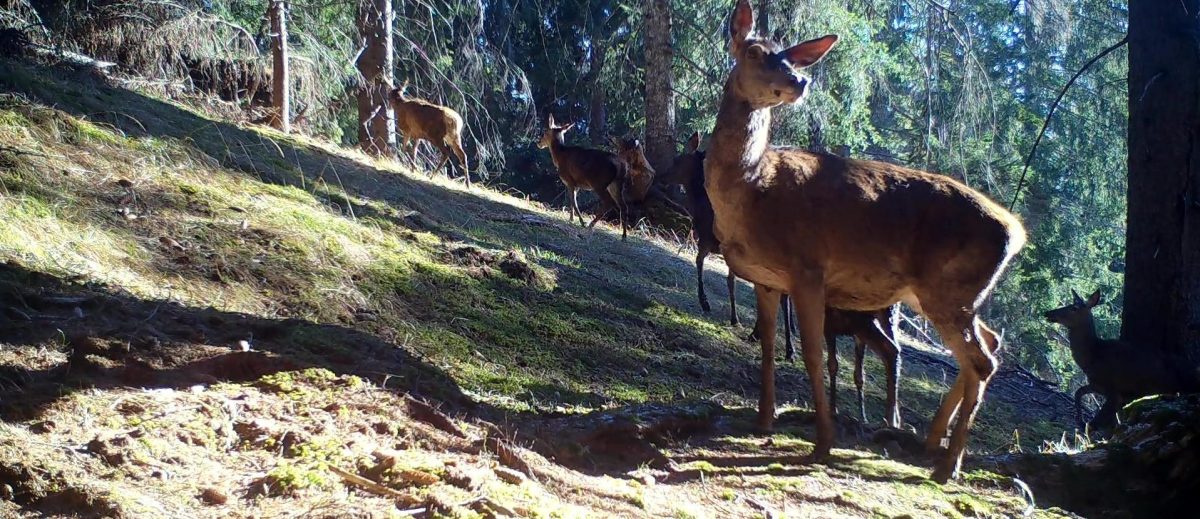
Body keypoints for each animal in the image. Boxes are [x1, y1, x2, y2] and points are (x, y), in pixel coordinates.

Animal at [667, 132, 904, 428]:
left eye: (678, 159)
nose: (661, 175)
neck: (699, 205)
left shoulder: (712, 241)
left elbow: (706, 267)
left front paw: (708, 303)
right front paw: (741, 321)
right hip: (885, 312)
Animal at [707, 0, 1026, 482]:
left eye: (793, 59)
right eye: (757, 52)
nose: (801, 81)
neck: (751, 190)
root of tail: (1017, 232)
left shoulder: (808, 267)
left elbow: (813, 354)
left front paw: (823, 442)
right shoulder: (766, 279)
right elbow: (767, 347)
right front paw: (762, 421)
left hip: (949, 288)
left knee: (981, 360)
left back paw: (947, 465)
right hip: (942, 294)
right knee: (989, 345)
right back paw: (931, 443)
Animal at [1045, 289, 1200, 431]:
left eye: (1074, 308)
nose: (1048, 313)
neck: (1093, 357)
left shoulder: (1115, 390)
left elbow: (1097, 422)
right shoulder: (1099, 385)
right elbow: (1079, 392)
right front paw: (1080, 419)